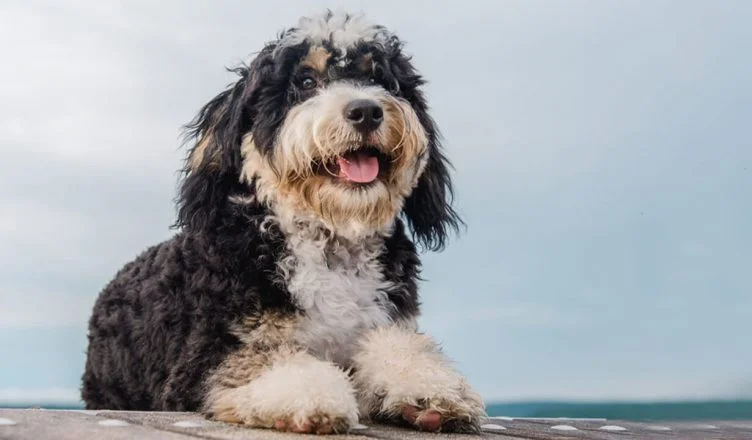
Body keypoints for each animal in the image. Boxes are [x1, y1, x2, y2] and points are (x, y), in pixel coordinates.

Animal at [79, 9, 484, 434]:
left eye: (381, 80)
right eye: (305, 81)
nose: (366, 110)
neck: (329, 241)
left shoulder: (385, 323)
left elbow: (402, 349)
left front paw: (429, 388)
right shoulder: (205, 354)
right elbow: (265, 361)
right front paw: (314, 395)